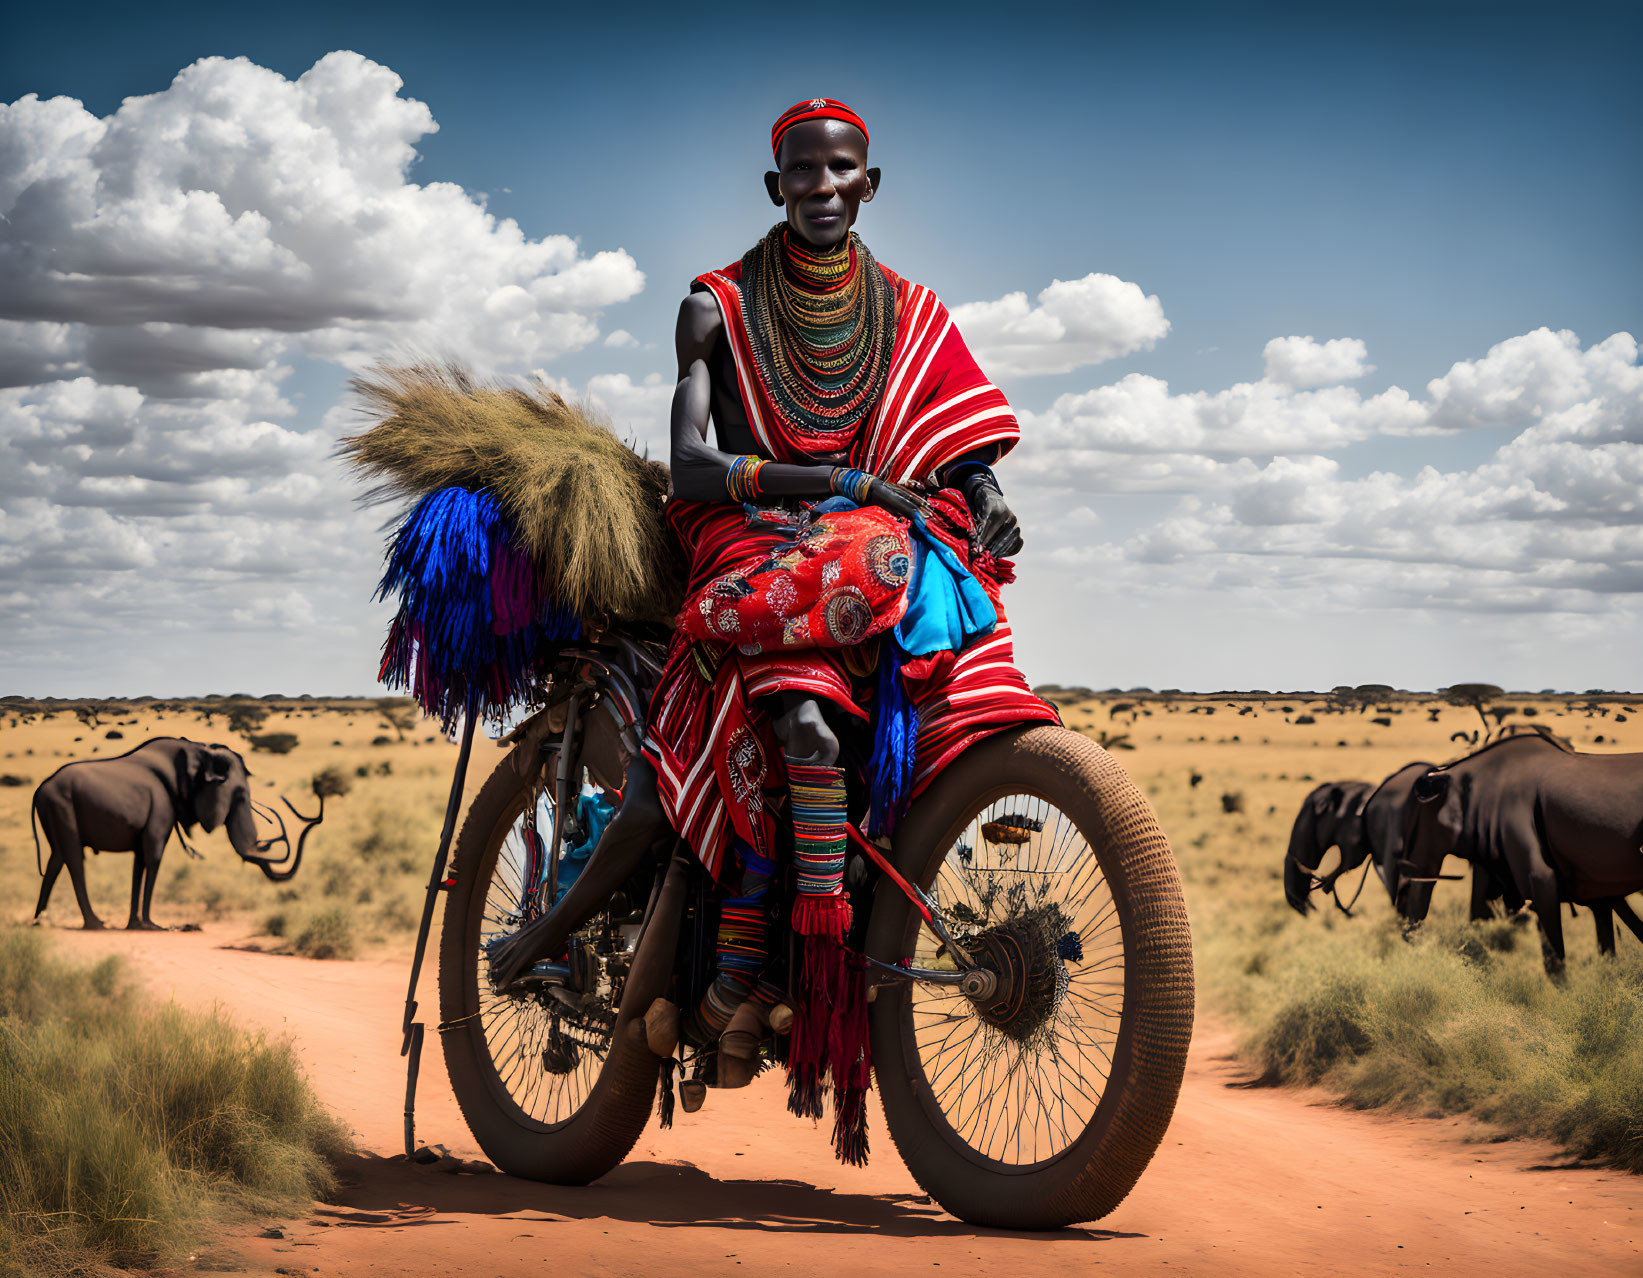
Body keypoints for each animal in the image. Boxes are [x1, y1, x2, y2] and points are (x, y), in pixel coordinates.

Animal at [30, 735, 320, 926]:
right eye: (239, 796)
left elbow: (139, 864)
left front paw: (135, 924)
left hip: (55, 814)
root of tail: (40, 788)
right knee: (74, 860)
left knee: (55, 861)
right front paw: (151, 925)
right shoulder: (161, 808)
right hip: (62, 807)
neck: (198, 753)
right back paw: (95, 924)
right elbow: (154, 858)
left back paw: (38, 920)